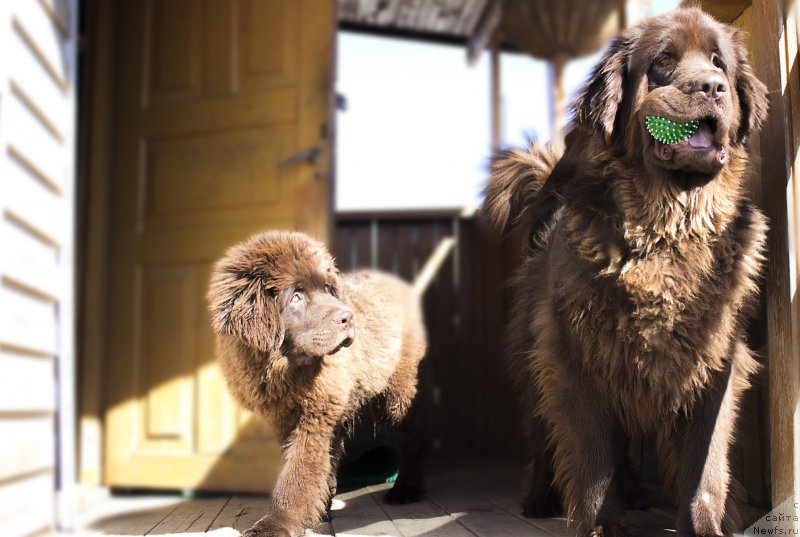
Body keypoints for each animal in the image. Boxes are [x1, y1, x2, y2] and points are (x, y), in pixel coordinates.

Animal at [209, 230, 428, 536]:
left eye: (327, 288)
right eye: (295, 296)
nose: (348, 318)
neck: (285, 368)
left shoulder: (314, 415)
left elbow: (297, 473)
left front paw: (276, 524)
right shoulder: (289, 417)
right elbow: (312, 467)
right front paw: (314, 511)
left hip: (396, 393)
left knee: (413, 436)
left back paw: (406, 490)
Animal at [482, 5, 768, 536]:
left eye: (719, 62)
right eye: (664, 63)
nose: (712, 86)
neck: (666, 232)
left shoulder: (714, 361)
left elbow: (705, 462)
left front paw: (705, 524)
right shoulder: (574, 356)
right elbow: (592, 458)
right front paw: (598, 524)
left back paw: (635, 492)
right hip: (535, 360)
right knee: (544, 437)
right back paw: (539, 497)